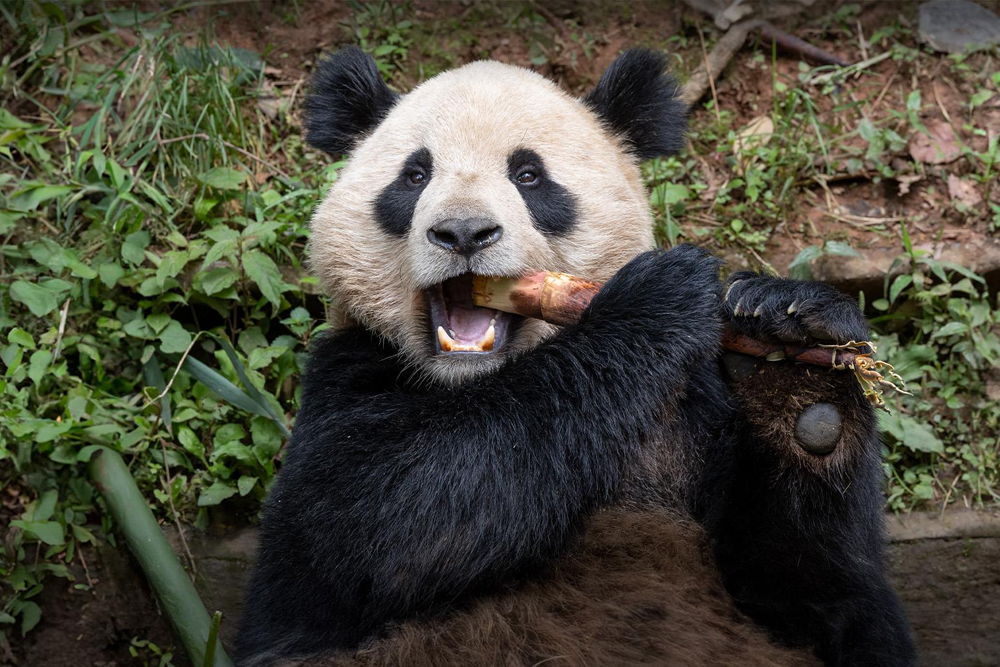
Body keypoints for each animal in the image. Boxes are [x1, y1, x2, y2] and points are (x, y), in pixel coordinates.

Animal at [234, 47, 917, 667]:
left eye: (530, 176)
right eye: (415, 176)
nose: (462, 234)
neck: (471, 383)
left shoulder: (695, 414)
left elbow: (820, 595)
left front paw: (794, 350)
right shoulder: (346, 374)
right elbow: (381, 522)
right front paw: (654, 298)